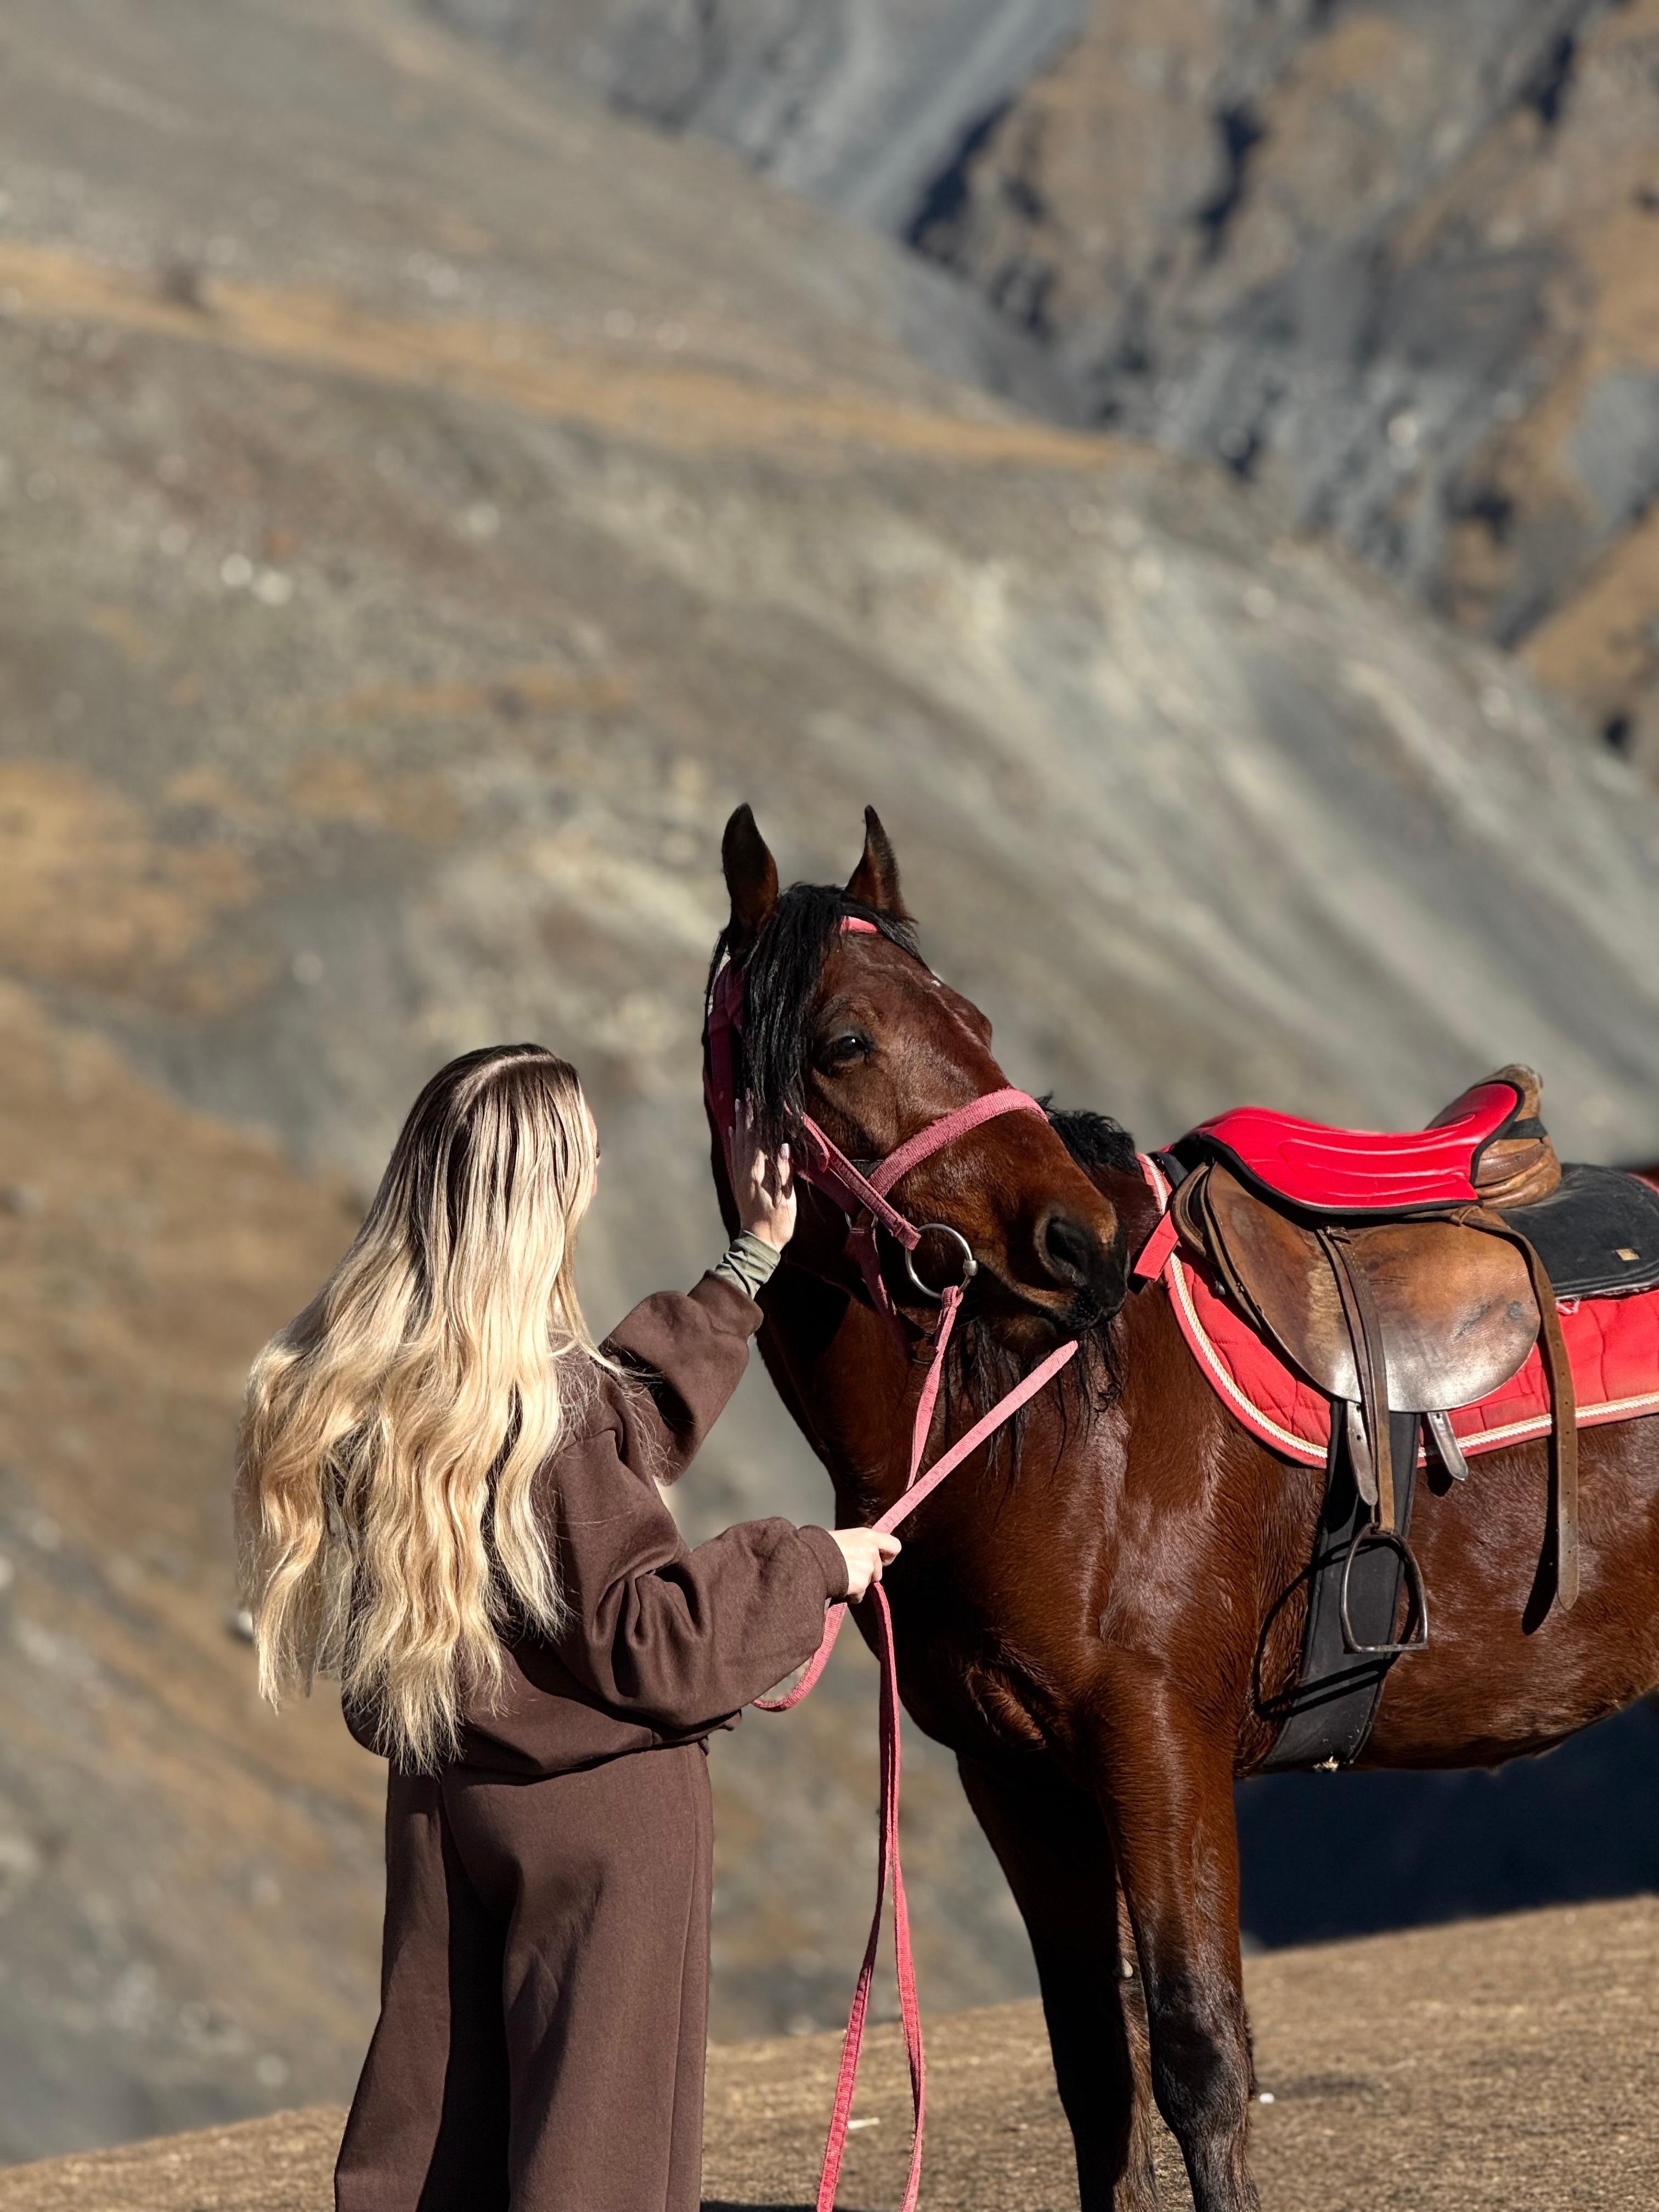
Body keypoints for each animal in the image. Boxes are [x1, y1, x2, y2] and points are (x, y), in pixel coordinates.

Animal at [703, 803, 1659, 2212]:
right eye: (843, 1044)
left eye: (973, 1021)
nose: (1076, 1244)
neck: (1053, 1432)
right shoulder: (1016, 1778)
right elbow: (1095, 2075)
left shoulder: (1160, 1750)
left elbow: (1202, 2056)